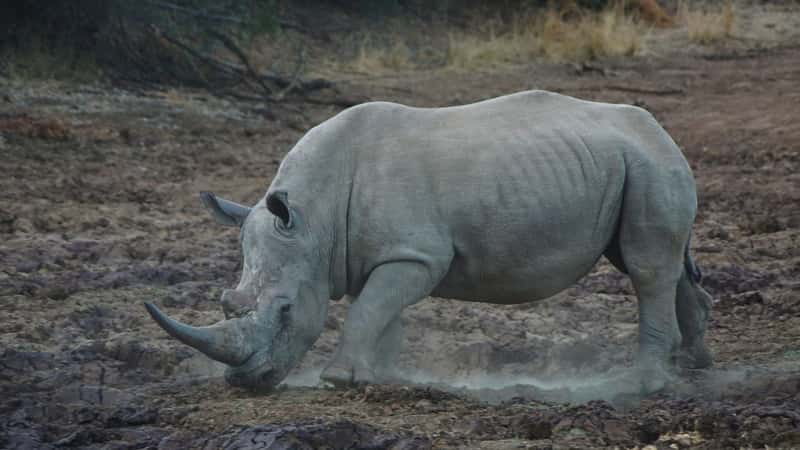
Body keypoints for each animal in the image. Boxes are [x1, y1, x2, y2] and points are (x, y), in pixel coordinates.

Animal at [145, 90, 713, 392]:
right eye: (227, 303)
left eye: (285, 311)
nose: (246, 382)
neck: (311, 219)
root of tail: (659, 128)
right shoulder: (375, 254)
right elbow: (378, 311)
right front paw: (379, 376)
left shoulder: (416, 255)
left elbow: (368, 310)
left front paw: (339, 380)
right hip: (629, 163)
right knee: (661, 266)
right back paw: (697, 367)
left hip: (649, 164)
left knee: (645, 268)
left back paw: (643, 385)